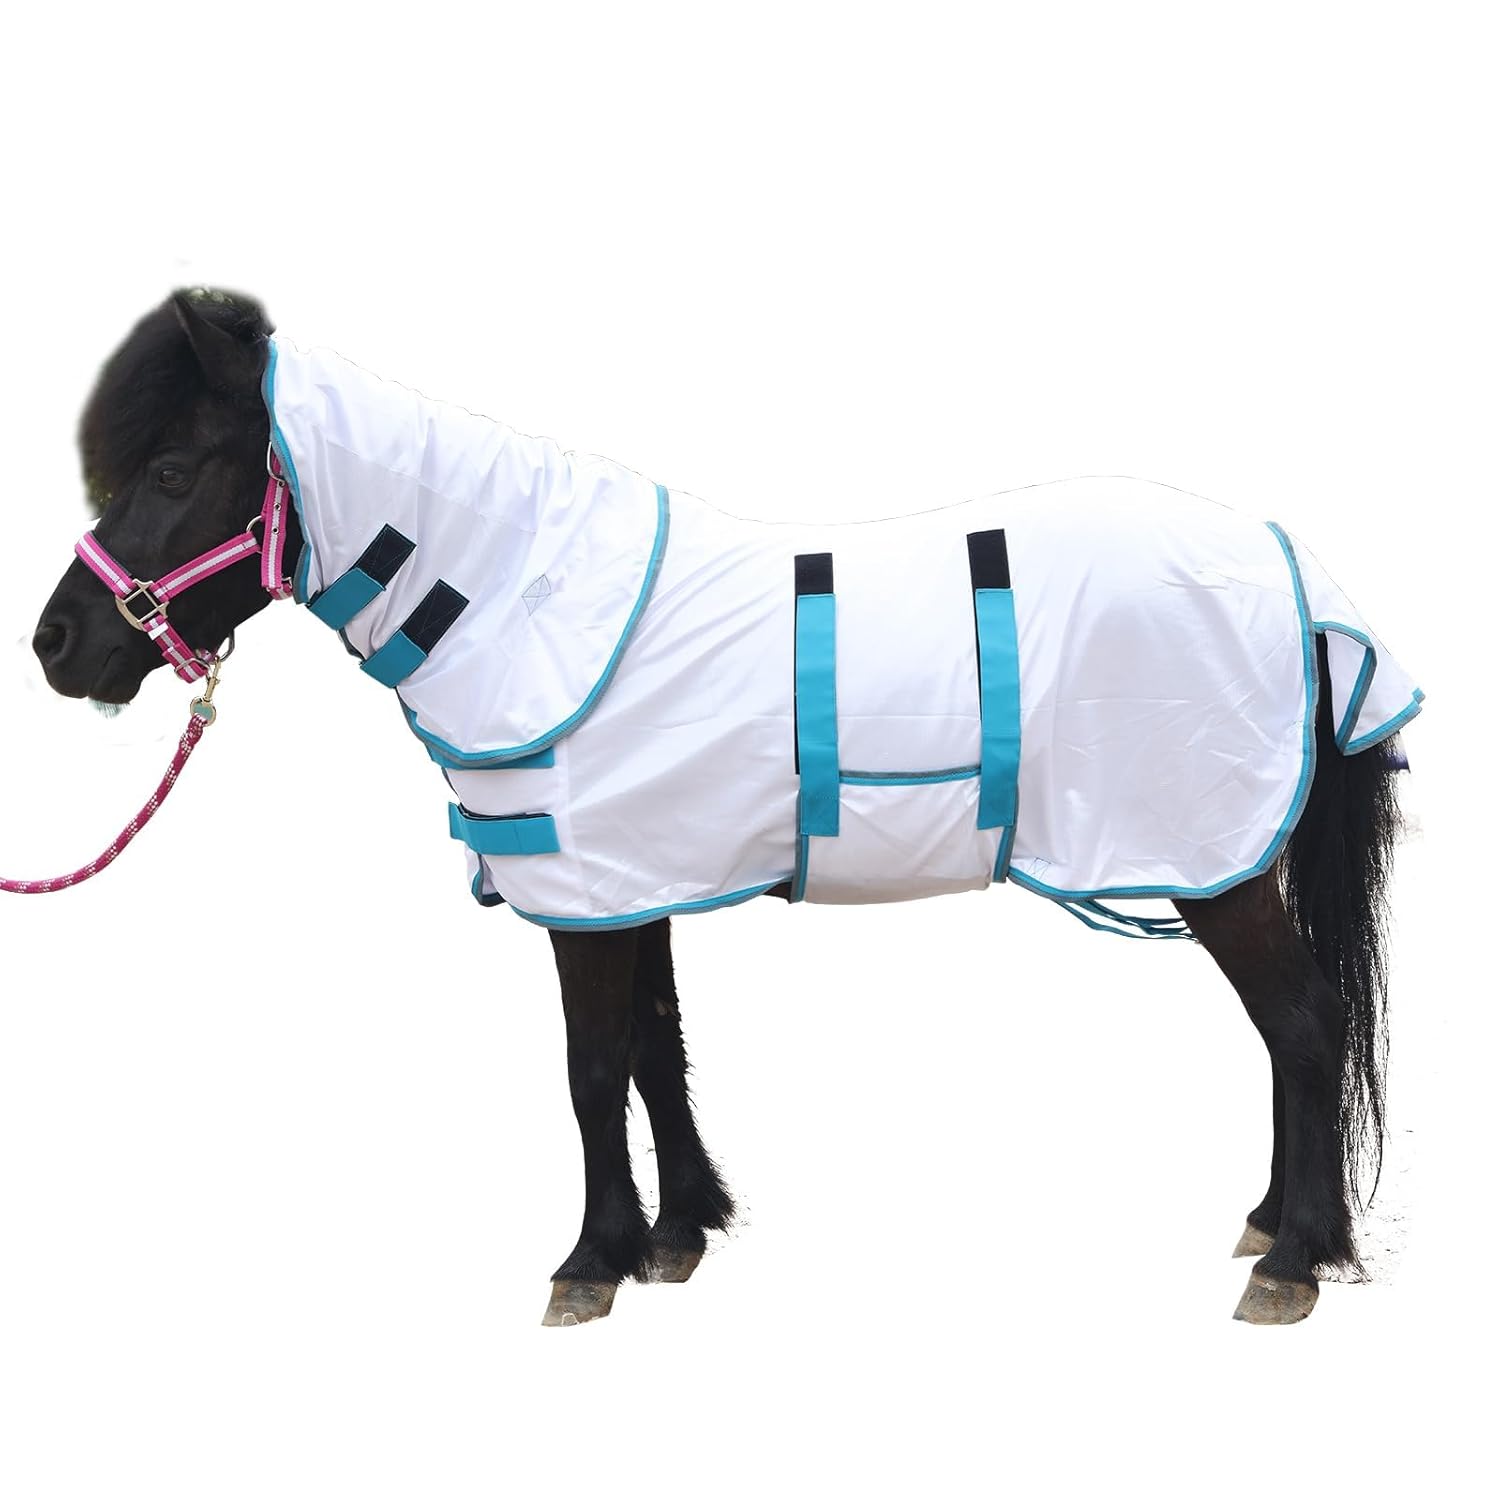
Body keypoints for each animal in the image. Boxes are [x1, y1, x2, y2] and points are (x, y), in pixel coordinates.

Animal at [29, 288, 1417, 1326]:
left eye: (170, 465)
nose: (56, 644)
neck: (521, 593)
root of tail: (1288, 568)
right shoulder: (632, 881)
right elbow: (657, 1051)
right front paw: (681, 1232)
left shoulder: (582, 900)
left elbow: (593, 1070)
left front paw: (591, 1261)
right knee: (1292, 1032)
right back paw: (1273, 1223)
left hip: (1215, 862)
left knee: (1302, 1025)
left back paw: (1295, 1257)